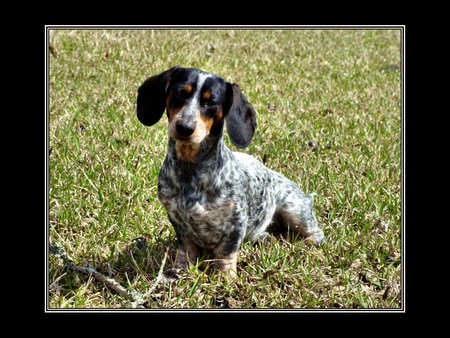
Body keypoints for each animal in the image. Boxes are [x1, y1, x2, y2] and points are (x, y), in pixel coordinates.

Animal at [135, 66, 326, 278]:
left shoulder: (236, 222)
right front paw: (181, 270)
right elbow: (186, 249)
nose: (184, 127)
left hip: (294, 210)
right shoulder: (178, 221)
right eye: (180, 93)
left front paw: (225, 278)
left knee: (317, 233)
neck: (191, 171)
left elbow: (226, 253)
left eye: (211, 102)